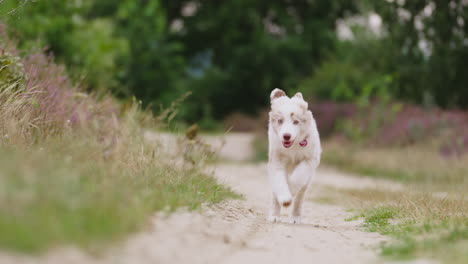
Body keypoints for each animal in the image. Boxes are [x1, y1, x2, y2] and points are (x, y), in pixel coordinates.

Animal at [266, 88, 322, 223]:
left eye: (296, 121)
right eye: (280, 121)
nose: (286, 136)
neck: (294, 146)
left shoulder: (310, 160)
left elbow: (299, 177)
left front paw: (291, 191)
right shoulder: (276, 160)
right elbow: (279, 181)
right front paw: (285, 198)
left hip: (308, 180)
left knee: (300, 196)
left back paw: (296, 216)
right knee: (275, 188)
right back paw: (274, 215)